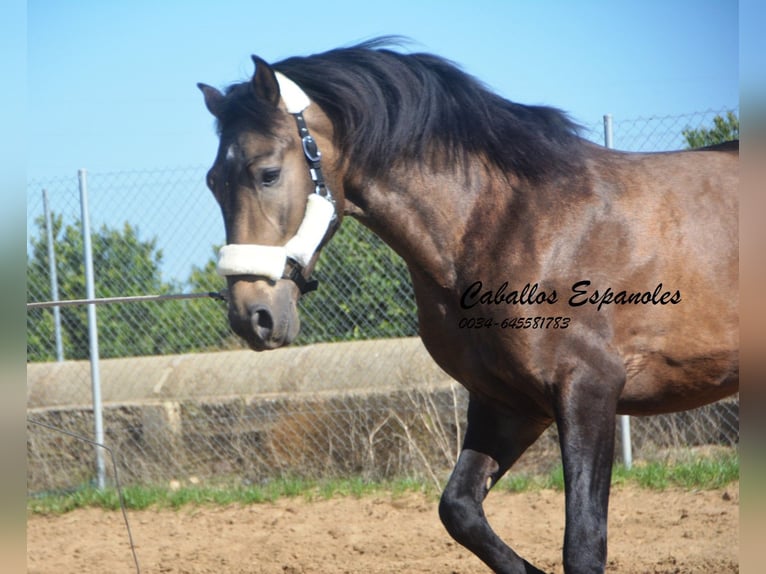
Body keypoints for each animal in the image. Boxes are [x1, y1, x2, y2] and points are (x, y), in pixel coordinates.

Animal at [198, 40, 736, 574]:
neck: (507, 223)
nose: (252, 316)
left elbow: (582, 545)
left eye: (267, 173)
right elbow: (458, 509)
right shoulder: (510, 403)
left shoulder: (588, 391)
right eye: (212, 182)